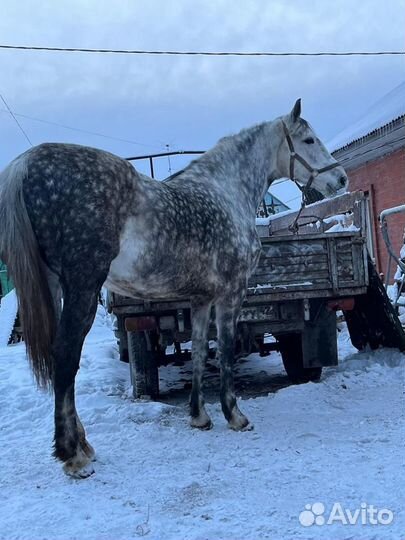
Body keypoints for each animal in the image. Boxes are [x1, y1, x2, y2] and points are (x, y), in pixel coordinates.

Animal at [0, 98, 348, 476]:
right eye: (308, 140)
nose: (341, 178)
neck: (227, 192)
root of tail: (25, 163)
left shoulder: (200, 299)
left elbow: (198, 350)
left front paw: (199, 416)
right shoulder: (231, 293)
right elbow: (225, 350)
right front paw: (235, 415)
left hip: (55, 287)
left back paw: (83, 446)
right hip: (82, 288)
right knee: (66, 356)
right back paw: (73, 455)